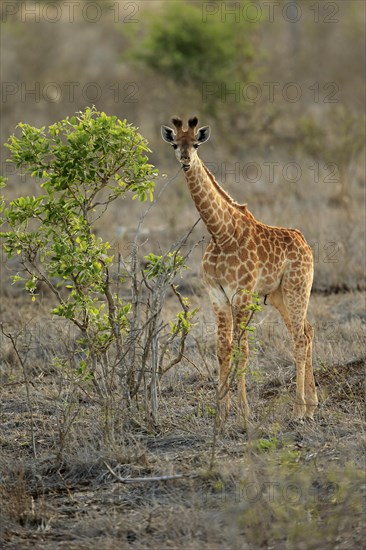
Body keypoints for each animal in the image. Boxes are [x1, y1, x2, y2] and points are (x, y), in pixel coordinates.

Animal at [161, 117, 318, 426]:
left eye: (195, 144)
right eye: (175, 144)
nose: (185, 160)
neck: (221, 233)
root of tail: (305, 244)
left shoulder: (242, 295)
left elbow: (241, 350)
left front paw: (245, 414)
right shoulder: (217, 295)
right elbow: (223, 349)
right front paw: (221, 413)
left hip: (297, 288)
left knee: (299, 337)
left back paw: (298, 411)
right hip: (279, 295)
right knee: (307, 330)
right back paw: (312, 406)